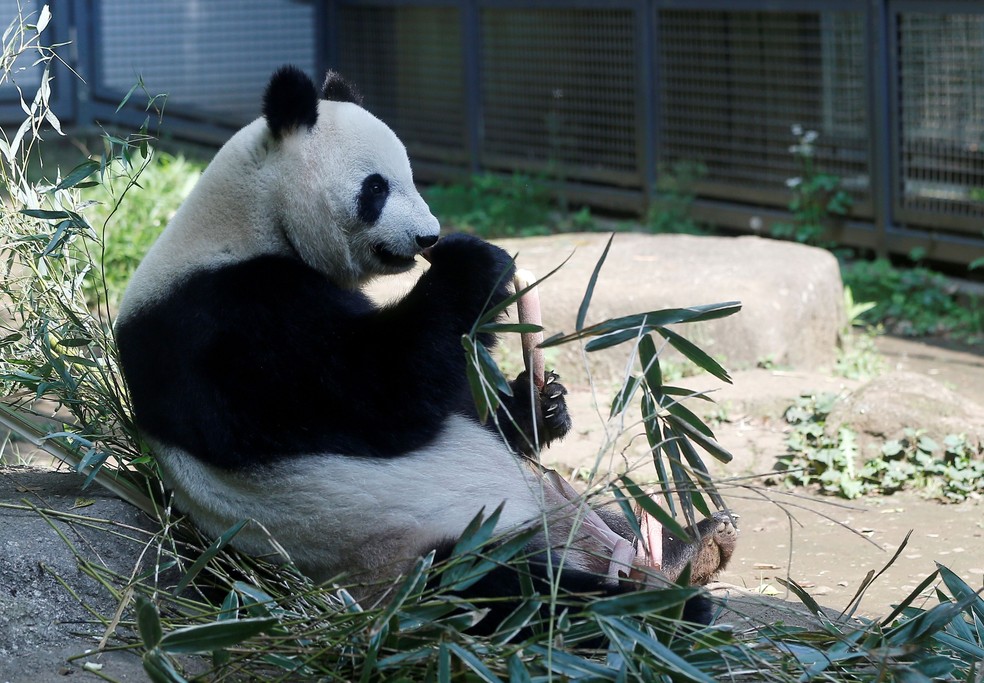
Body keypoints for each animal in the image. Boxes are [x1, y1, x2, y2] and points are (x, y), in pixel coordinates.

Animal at [115, 65, 735, 626]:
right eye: (376, 187)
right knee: (509, 595)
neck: (249, 218)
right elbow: (378, 388)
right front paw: (476, 262)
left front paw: (541, 404)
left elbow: (455, 397)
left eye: (411, 176)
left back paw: (690, 546)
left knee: (618, 516)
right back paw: (660, 608)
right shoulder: (225, 321)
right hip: (415, 551)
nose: (428, 236)